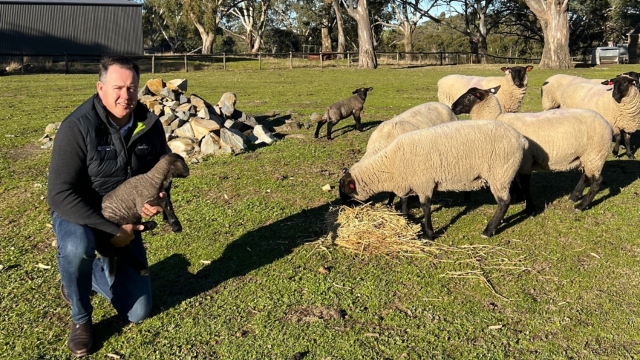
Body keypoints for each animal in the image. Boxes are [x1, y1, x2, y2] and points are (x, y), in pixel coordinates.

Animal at [338, 119, 528, 240]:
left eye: (345, 193)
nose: (344, 211)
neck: (391, 165)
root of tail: (521, 139)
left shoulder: (424, 183)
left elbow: (425, 207)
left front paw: (429, 234)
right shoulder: (407, 182)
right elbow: (404, 201)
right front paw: (405, 219)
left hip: (499, 174)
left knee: (503, 202)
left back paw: (488, 230)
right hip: (506, 172)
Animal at [448, 86, 612, 212]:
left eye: (469, 96)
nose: (452, 107)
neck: (496, 118)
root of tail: (607, 124)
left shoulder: (524, 161)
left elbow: (525, 185)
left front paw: (529, 207)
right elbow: (514, 182)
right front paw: (519, 197)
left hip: (595, 153)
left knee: (597, 182)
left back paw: (581, 206)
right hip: (588, 156)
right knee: (585, 176)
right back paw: (573, 197)